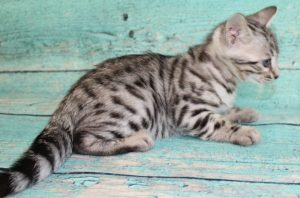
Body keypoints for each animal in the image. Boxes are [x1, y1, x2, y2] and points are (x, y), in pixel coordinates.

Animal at [0, 5, 278, 196]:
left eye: (275, 59)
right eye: (265, 62)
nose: (277, 75)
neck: (222, 74)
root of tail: (66, 104)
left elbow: (225, 109)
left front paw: (244, 112)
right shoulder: (188, 112)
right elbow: (217, 122)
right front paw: (243, 131)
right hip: (137, 102)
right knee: (81, 140)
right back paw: (137, 140)